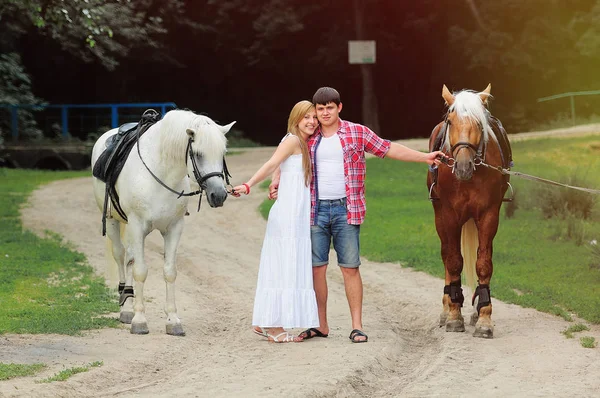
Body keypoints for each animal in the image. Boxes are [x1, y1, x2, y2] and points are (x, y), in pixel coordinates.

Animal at [91, 109, 234, 336]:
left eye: (222, 154)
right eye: (198, 154)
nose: (218, 195)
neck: (161, 174)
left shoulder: (174, 228)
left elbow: (169, 272)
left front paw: (173, 321)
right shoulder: (137, 225)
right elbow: (140, 271)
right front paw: (139, 320)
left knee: (130, 257)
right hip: (113, 221)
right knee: (121, 256)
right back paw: (126, 308)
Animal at [426, 84, 510, 338]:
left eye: (479, 124)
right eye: (450, 121)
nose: (463, 166)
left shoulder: (489, 215)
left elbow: (483, 263)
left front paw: (483, 318)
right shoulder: (448, 216)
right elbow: (453, 261)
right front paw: (454, 316)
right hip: (441, 218)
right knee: (446, 255)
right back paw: (447, 309)